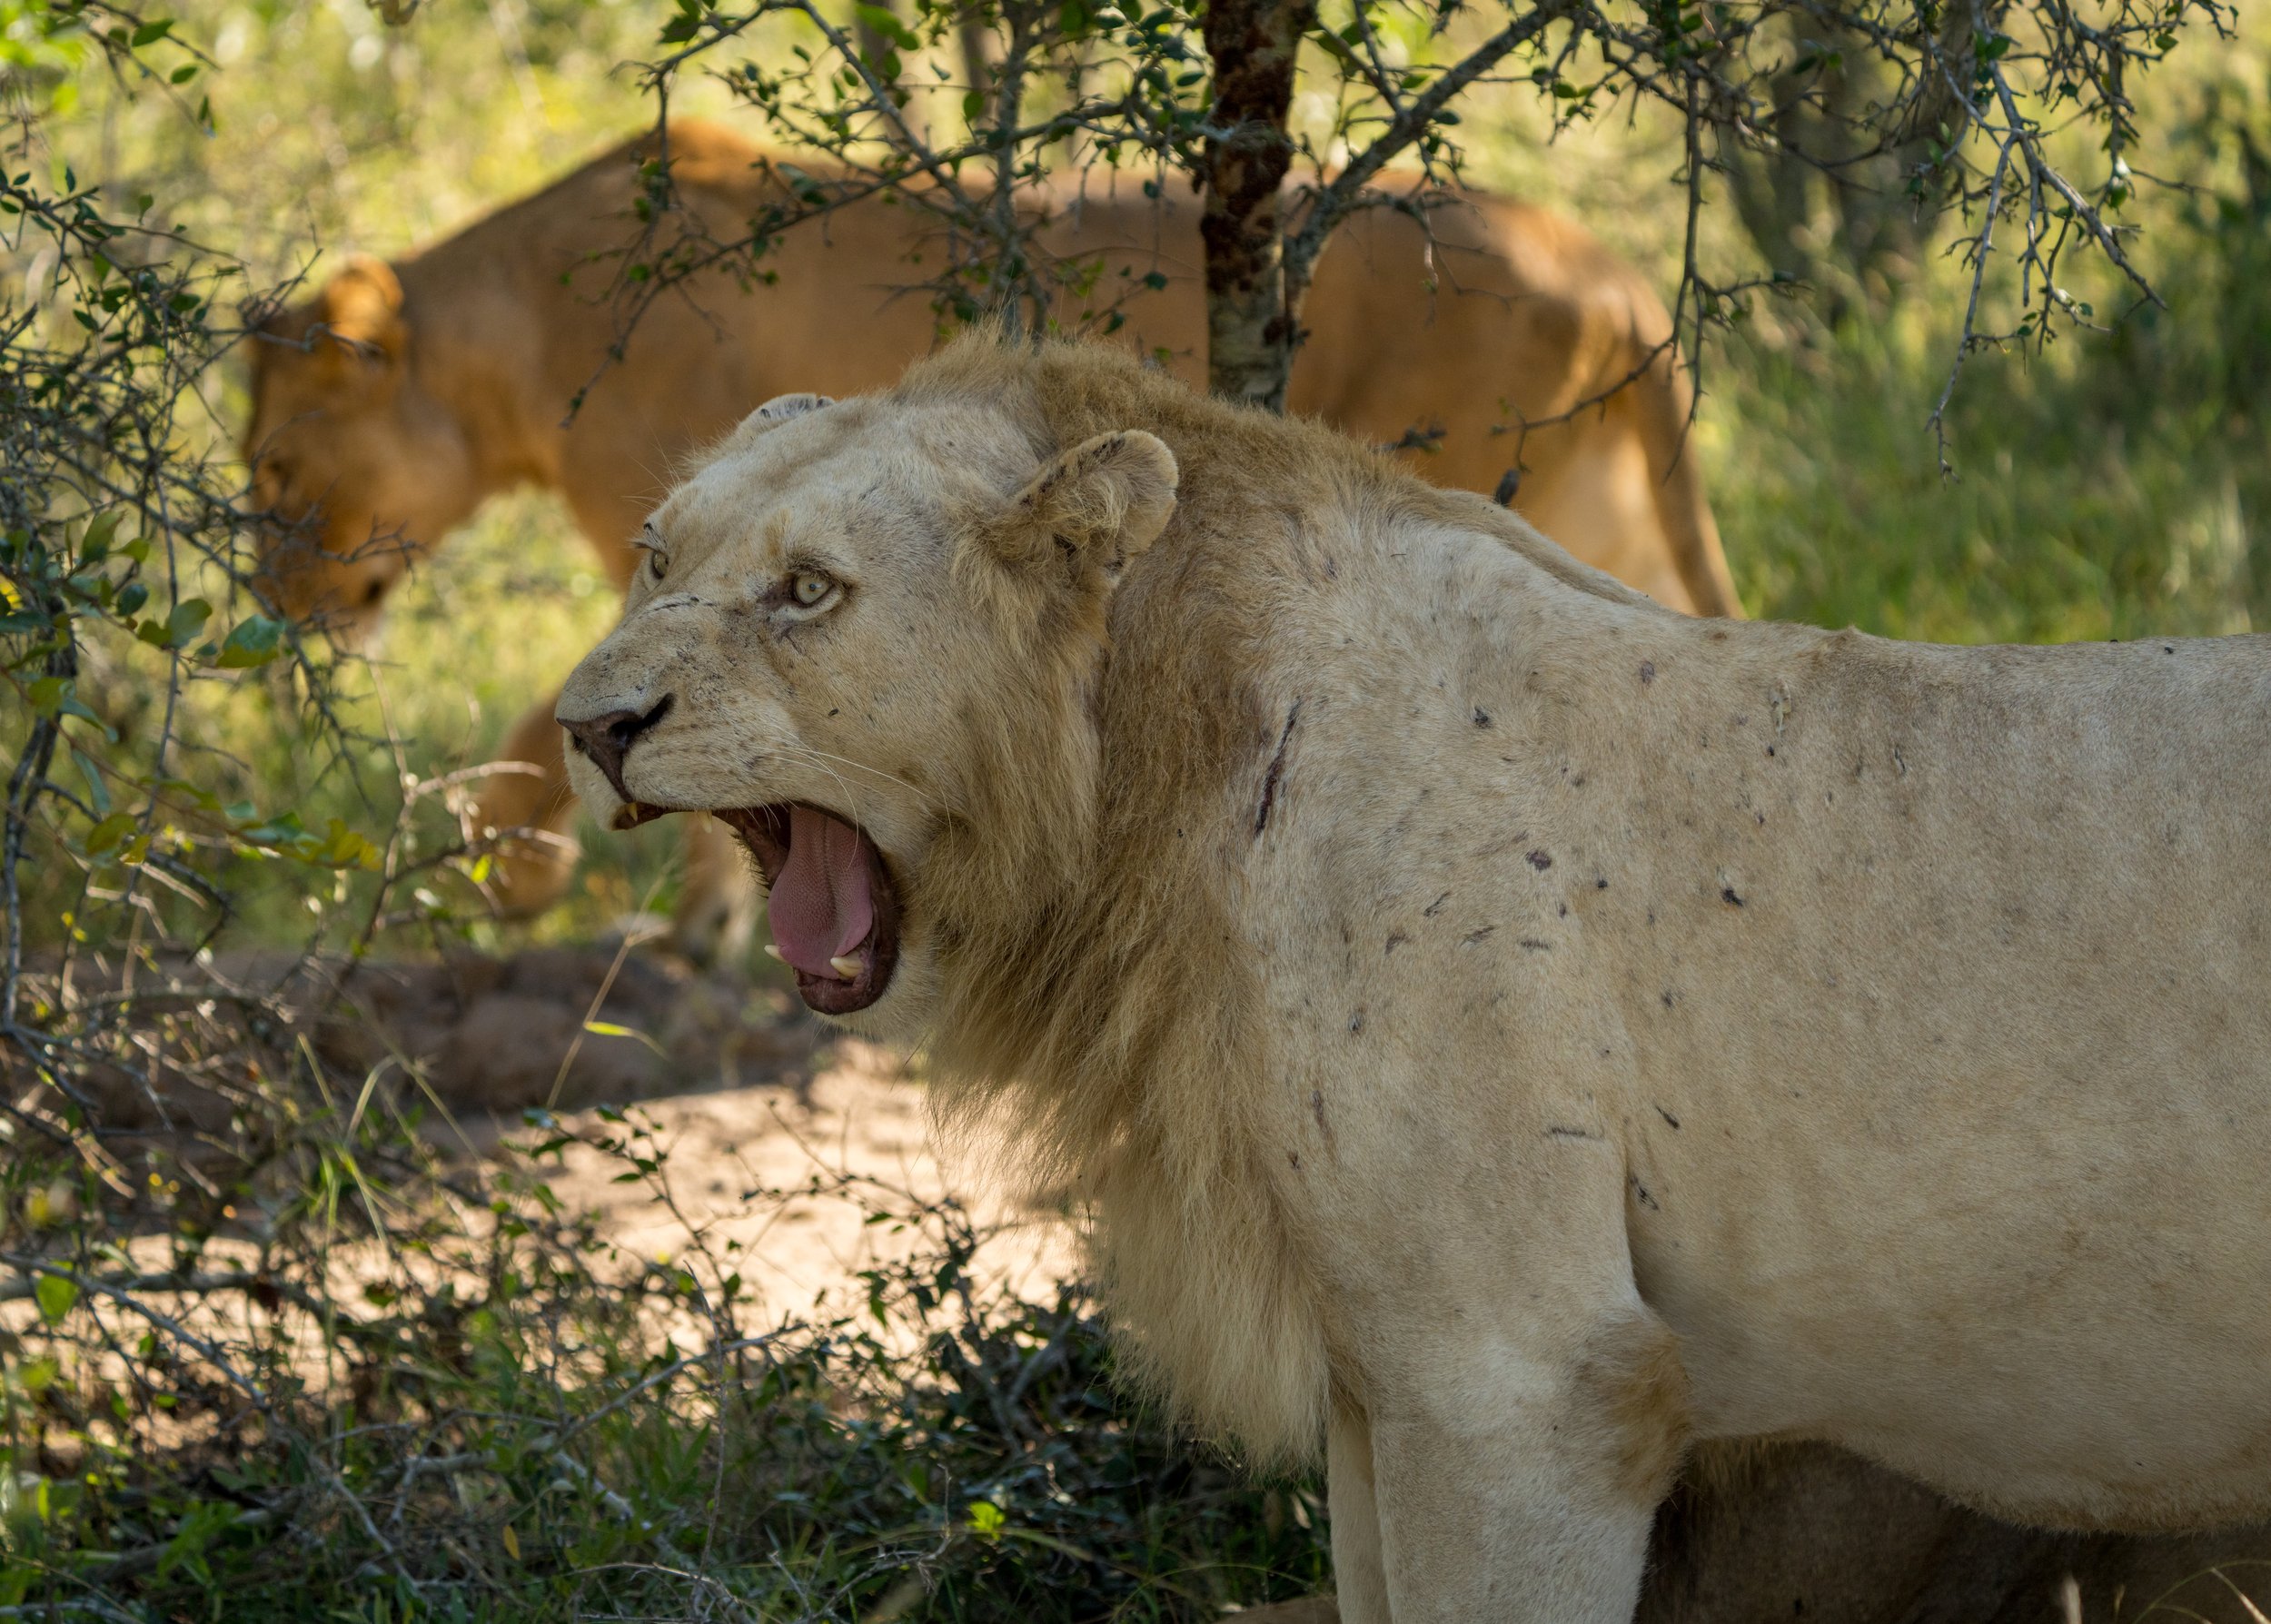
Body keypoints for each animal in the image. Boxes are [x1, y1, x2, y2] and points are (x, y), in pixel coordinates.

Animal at [243, 119, 1737, 948]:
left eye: (275, 467)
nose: (272, 614)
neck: (512, 332)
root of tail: (1614, 270)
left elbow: (600, 725)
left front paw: (543, 876)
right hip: (1590, 532)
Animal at [553, 335, 2271, 1622]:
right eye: (655, 553)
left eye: (809, 592)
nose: (590, 725)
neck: (1145, 786)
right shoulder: (1382, 1388)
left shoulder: (1528, 1383)